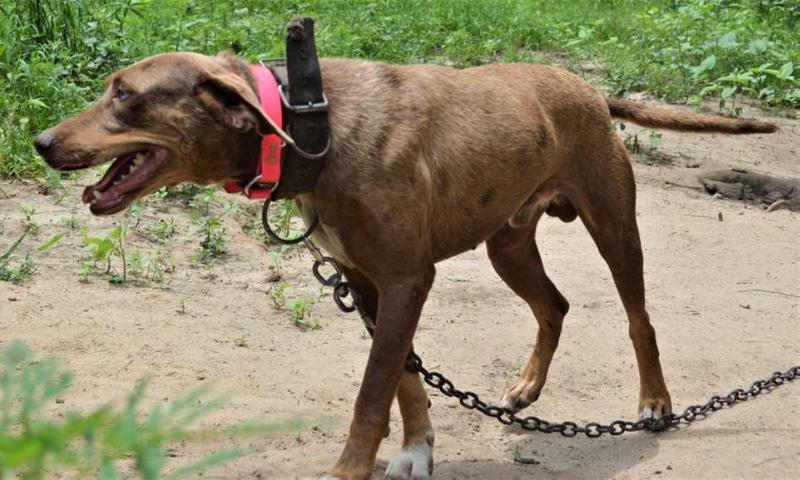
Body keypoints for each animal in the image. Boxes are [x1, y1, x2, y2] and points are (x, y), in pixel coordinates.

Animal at [34, 50, 780, 478]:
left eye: (125, 94)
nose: (41, 141)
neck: (308, 123)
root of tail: (587, 87)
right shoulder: (366, 284)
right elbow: (405, 381)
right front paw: (418, 450)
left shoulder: (403, 281)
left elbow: (371, 396)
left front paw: (350, 471)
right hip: (508, 245)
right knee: (555, 305)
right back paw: (525, 387)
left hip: (615, 226)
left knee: (637, 317)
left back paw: (655, 401)